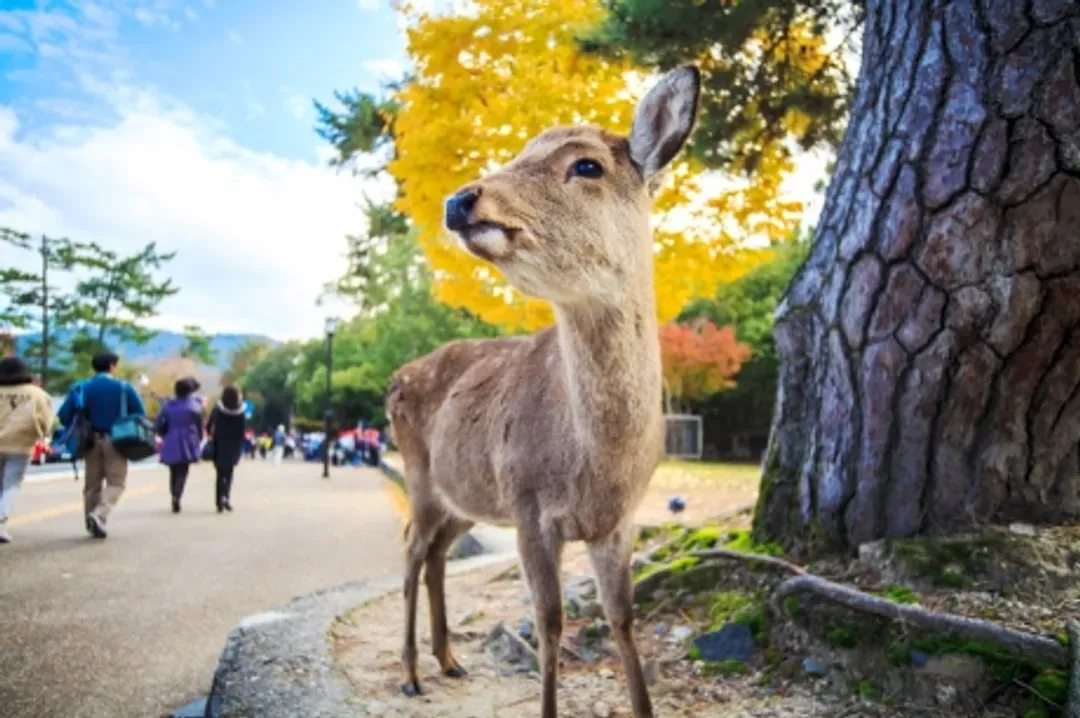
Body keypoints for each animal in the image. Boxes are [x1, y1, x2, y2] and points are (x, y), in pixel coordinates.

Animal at [386, 65, 701, 718]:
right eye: (520, 151)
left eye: (586, 165)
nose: (458, 200)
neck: (595, 466)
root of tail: (395, 379)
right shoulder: (529, 504)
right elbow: (550, 622)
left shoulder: (619, 521)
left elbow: (623, 618)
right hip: (422, 477)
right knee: (410, 551)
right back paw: (410, 674)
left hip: (465, 497)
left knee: (436, 556)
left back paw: (449, 661)